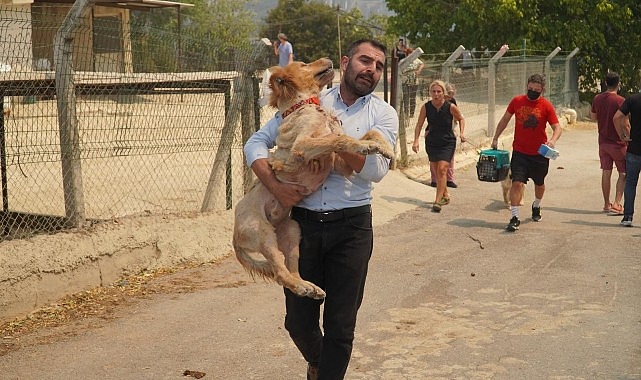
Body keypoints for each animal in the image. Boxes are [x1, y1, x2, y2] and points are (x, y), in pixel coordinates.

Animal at [232, 58, 392, 298]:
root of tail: (234, 236)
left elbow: (371, 133)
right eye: (303, 64)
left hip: (291, 230)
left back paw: (310, 287)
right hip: (262, 232)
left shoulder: (341, 164)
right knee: (280, 272)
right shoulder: (303, 146)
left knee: (291, 268)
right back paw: (300, 287)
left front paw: (385, 148)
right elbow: (338, 139)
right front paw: (366, 146)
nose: (328, 59)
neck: (306, 105)